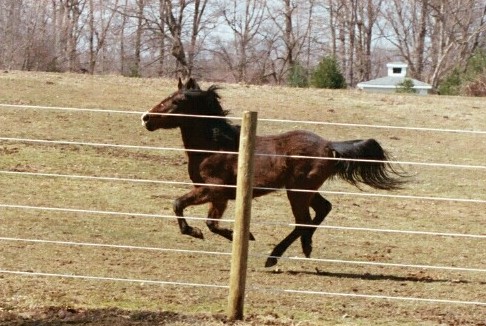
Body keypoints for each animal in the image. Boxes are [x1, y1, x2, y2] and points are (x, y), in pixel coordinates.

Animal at [141, 77, 406, 266]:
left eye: (177, 101)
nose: (146, 118)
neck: (214, 146)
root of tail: (329, 145)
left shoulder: (213, 189)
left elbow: (180, 205)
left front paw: (198, 232)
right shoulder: (220, 196)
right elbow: (211, 223)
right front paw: (238, 235)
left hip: (298, 191)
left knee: (303, 221)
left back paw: (275, 256)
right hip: (304, 190)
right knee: (322, 210)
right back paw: (305, 246)